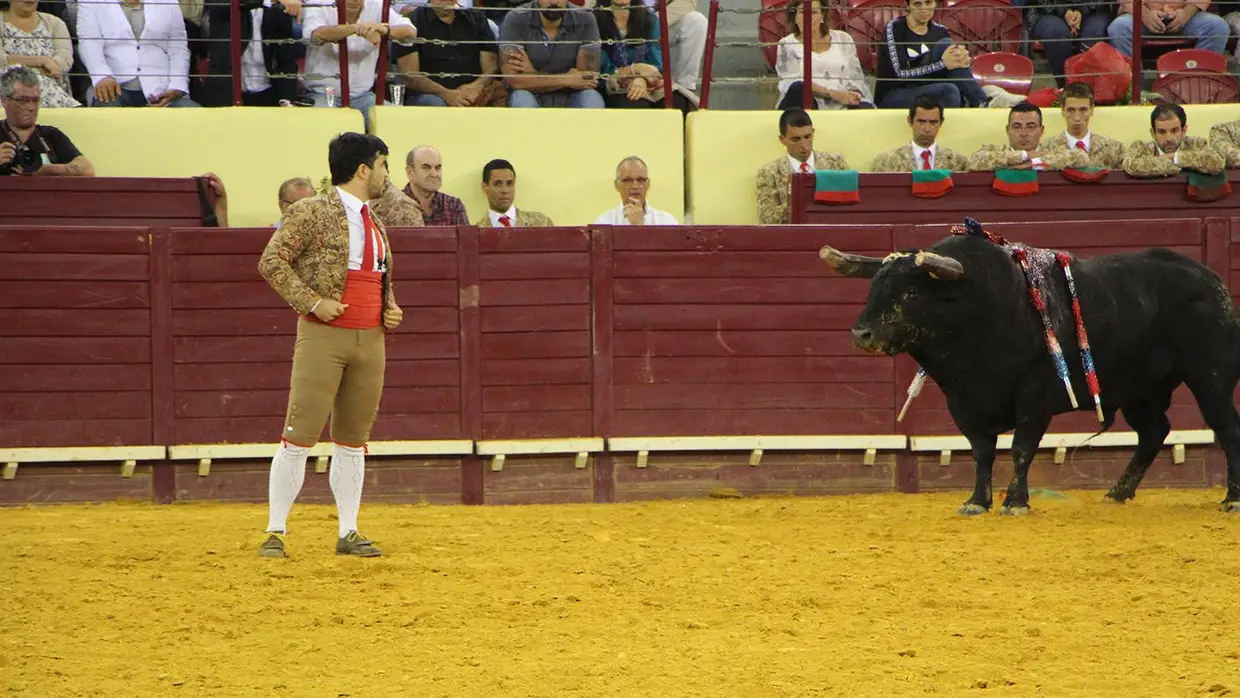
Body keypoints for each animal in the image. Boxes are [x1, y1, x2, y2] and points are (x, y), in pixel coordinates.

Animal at [818, 231, 1240, 515]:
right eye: (873, 287)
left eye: (910, 293)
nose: (861, 334)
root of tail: (1211, 279)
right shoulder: (962, 402)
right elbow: (981, 452)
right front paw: (977, 502)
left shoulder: (1035, 395)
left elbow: (1021, 447)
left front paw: (1015, 502)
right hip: (1140, 390)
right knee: (1154, 432)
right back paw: (1117, 493)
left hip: (1210, 379)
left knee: (1225, 427)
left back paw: (1231, 498)